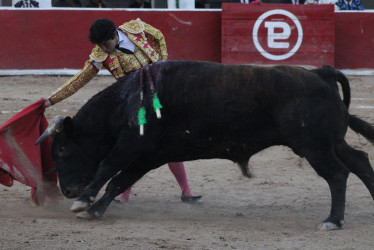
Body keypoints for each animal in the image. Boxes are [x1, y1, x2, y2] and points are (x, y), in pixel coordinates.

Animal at [38, 60, 374, 230]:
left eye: (62, 150)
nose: (67, 190)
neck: (127, 100)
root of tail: (321, 73)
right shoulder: (151, 155)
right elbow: (119, 181)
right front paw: (94, 211)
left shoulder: (134, 145)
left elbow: (108, 167)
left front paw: (84, 202)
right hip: (331, 141)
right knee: (360, 160)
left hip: (313, 146)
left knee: (338, 174)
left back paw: (332, 220)